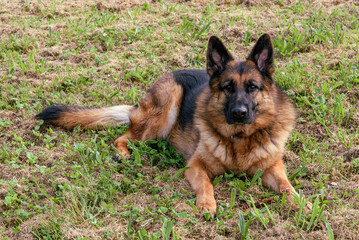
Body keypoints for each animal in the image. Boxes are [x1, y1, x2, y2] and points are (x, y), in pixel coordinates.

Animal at [37, 33, 312, 218]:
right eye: (228, 87)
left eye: (253, 87)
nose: (239, 113)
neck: (240, 139)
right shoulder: (195, 166)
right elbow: (206, 184)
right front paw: (207, 205)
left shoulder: (272, 167)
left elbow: (287, 186)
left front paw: (302, 203)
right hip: (167, 104)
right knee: (123, 137)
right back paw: (123, 154)